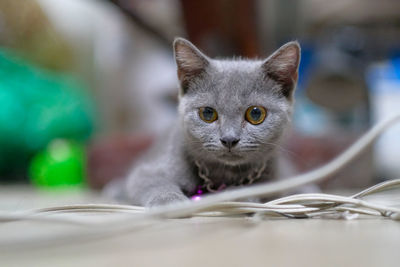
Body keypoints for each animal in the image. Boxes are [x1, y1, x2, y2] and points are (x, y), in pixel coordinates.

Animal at [112, 37, 300, 207]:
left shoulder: (279, 181)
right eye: (208, 113)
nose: (229, 139)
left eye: (256, 114)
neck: (223, 175)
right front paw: (170, 202)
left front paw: (236, 195)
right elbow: (154, 183)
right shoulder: (144, 172)